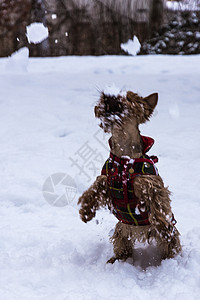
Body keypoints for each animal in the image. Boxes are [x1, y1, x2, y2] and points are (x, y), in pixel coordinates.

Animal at [77, 89, 181, 264]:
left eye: (129, 98)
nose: (108, 95)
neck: (124, 158)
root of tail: (142, 232)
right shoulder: (106, 180)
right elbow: (94, 190)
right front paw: (85, 211)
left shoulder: (149, 181)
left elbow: (156, 199)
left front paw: (160, 221)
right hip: (121, 230)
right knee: (123, 247)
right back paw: (116, 260)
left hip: (169, 235)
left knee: (170, 243)